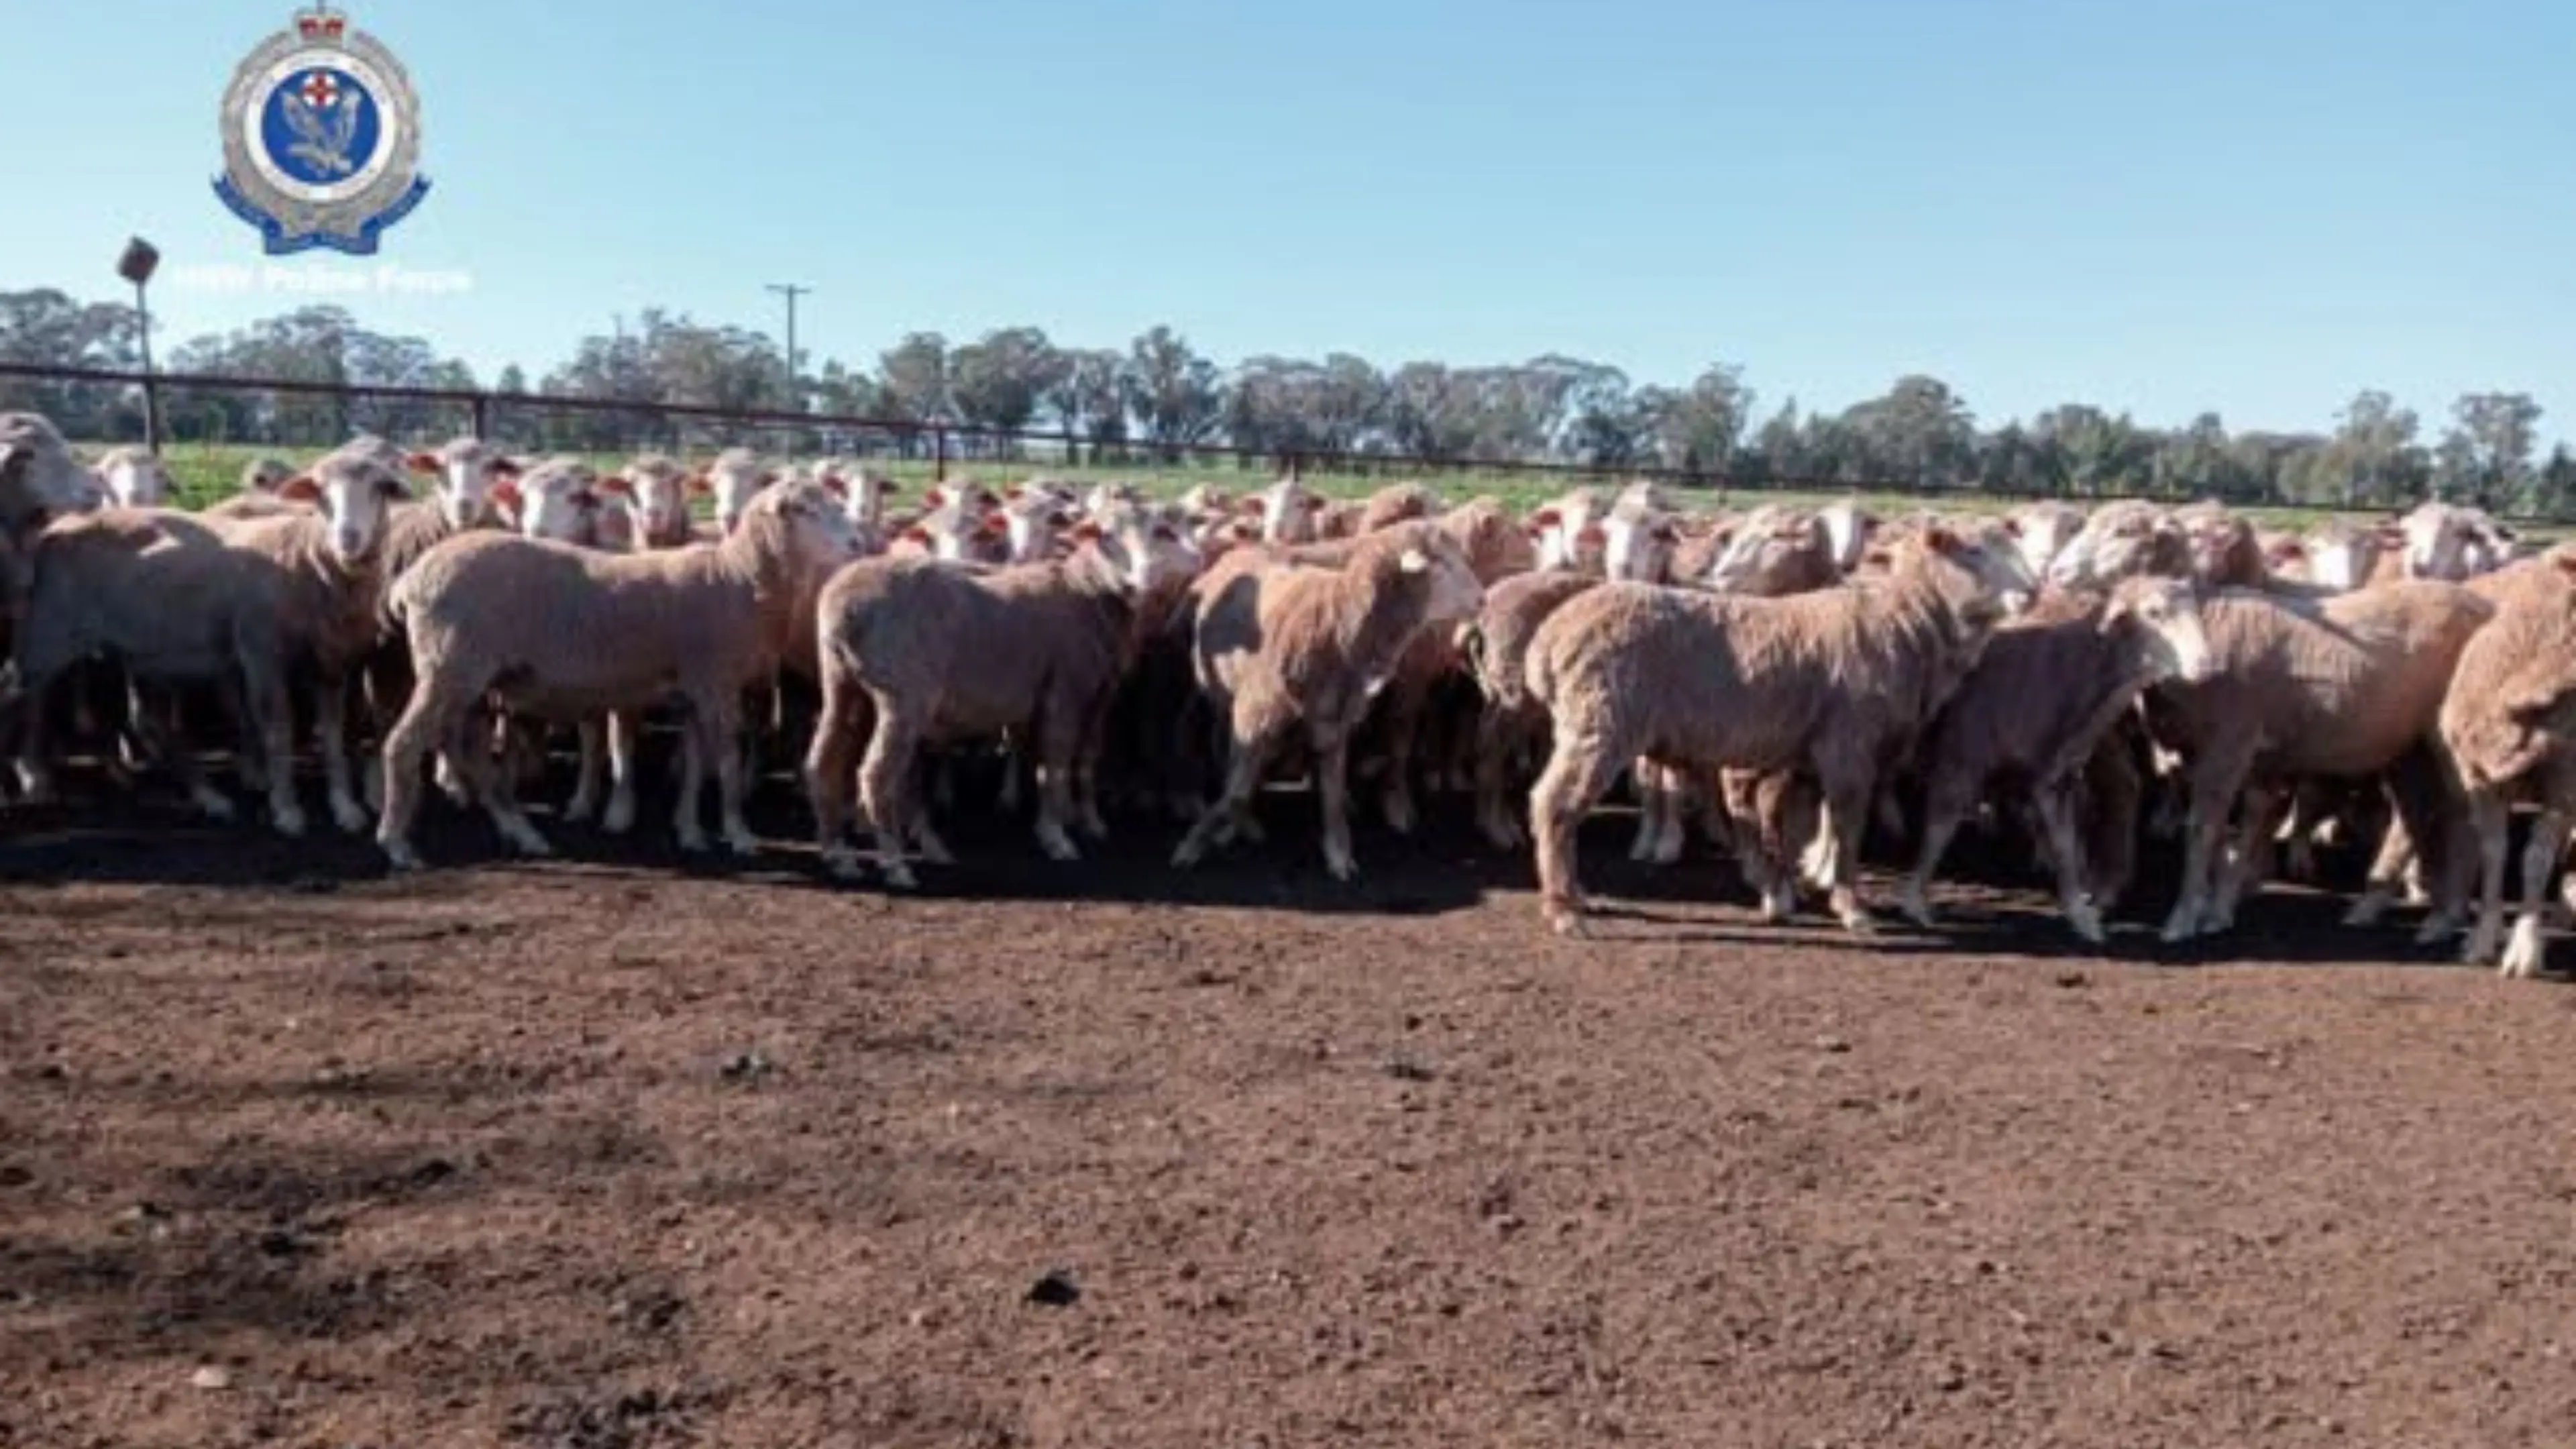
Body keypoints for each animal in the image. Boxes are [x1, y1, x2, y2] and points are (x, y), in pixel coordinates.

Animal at [374, 472, 860, 869]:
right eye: (805, 510)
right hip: (448, 667)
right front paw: (739, 834)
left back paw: (522, 832)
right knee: (403, 744)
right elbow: (726, 760)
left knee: (472, 754)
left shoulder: (693, 690)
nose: (857, 544)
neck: (739, 576)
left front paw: (690, 831)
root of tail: (411, 579)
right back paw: (397, 843)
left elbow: (695, 765)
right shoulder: (716, 681)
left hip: (474, 678)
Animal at [805, 507, 1200, 886]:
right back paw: (894, 864)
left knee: (822, 761)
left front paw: (1086, 822)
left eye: (1160, 531)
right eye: (1108, 535)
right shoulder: (1065, 691)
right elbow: (1055, 764)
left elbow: (1080, 759)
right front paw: (1055, 835)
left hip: (841, 684)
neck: (1086, 590)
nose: (1142, 581)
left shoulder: (1095, 696)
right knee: (877, 774)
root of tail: (843, 606)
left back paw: (839, 855)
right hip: (902, 696)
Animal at [1170, 520, 1487, 881]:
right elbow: (1235, 793)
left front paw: (1339, 855)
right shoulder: (1255, 713)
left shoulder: (1332, 720)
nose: (1482, 599)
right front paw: (1192, 844)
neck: (1336, 623)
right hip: (1211, 688)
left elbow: (1333, 794)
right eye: (1441, 563)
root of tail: (1236, 552)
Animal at [1522, 520, 2036, 937]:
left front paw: (1781, 894)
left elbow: (1793, 828)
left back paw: (1578, 896)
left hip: (1588, 724)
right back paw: (1564, 911)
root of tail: (1549, 638)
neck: (1907, 624)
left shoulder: (1806, 755)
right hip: (1599, 724)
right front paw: (1851, 907)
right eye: (1973, 551)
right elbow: (1848, 826)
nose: (2032, 591)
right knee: (1555, 804)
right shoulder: (1847, 745)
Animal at [1897, 576, 2218, 942]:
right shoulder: (1961, 757)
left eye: (2195, 609)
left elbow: (2065, 843)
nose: (2207, 665)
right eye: (2154, 613)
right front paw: (1915, 900)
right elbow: (1939, 829)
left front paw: (2080, 914)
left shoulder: (2055, 777)